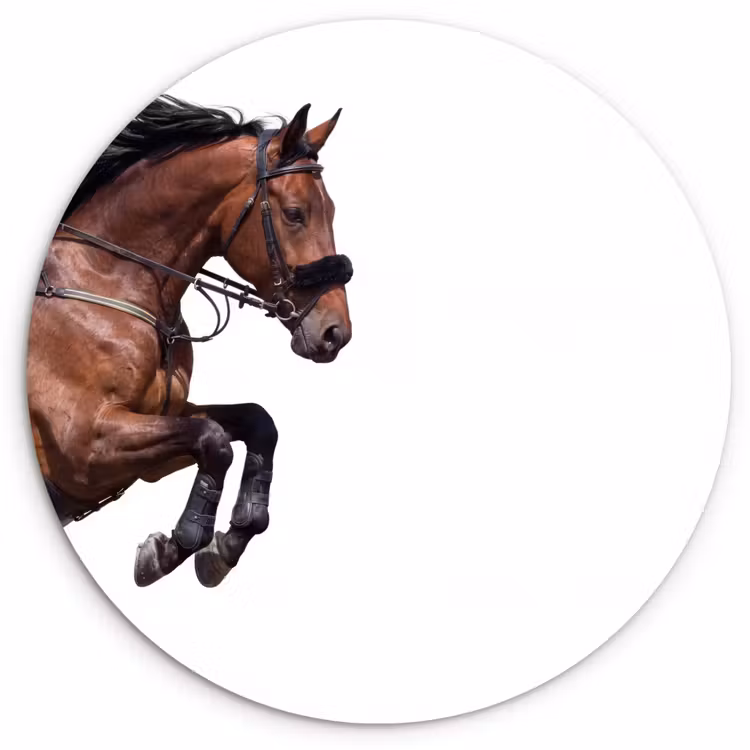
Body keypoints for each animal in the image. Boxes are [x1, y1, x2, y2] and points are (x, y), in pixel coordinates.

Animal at [26, 95, 353, 588]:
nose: (337, 333)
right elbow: (213, 440)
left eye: (331, 211)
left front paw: (227, 542)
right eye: (295, 213)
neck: (111, 278)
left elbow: (256, 422)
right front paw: (172, 548)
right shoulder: (85, 446)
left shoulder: (154, 439)